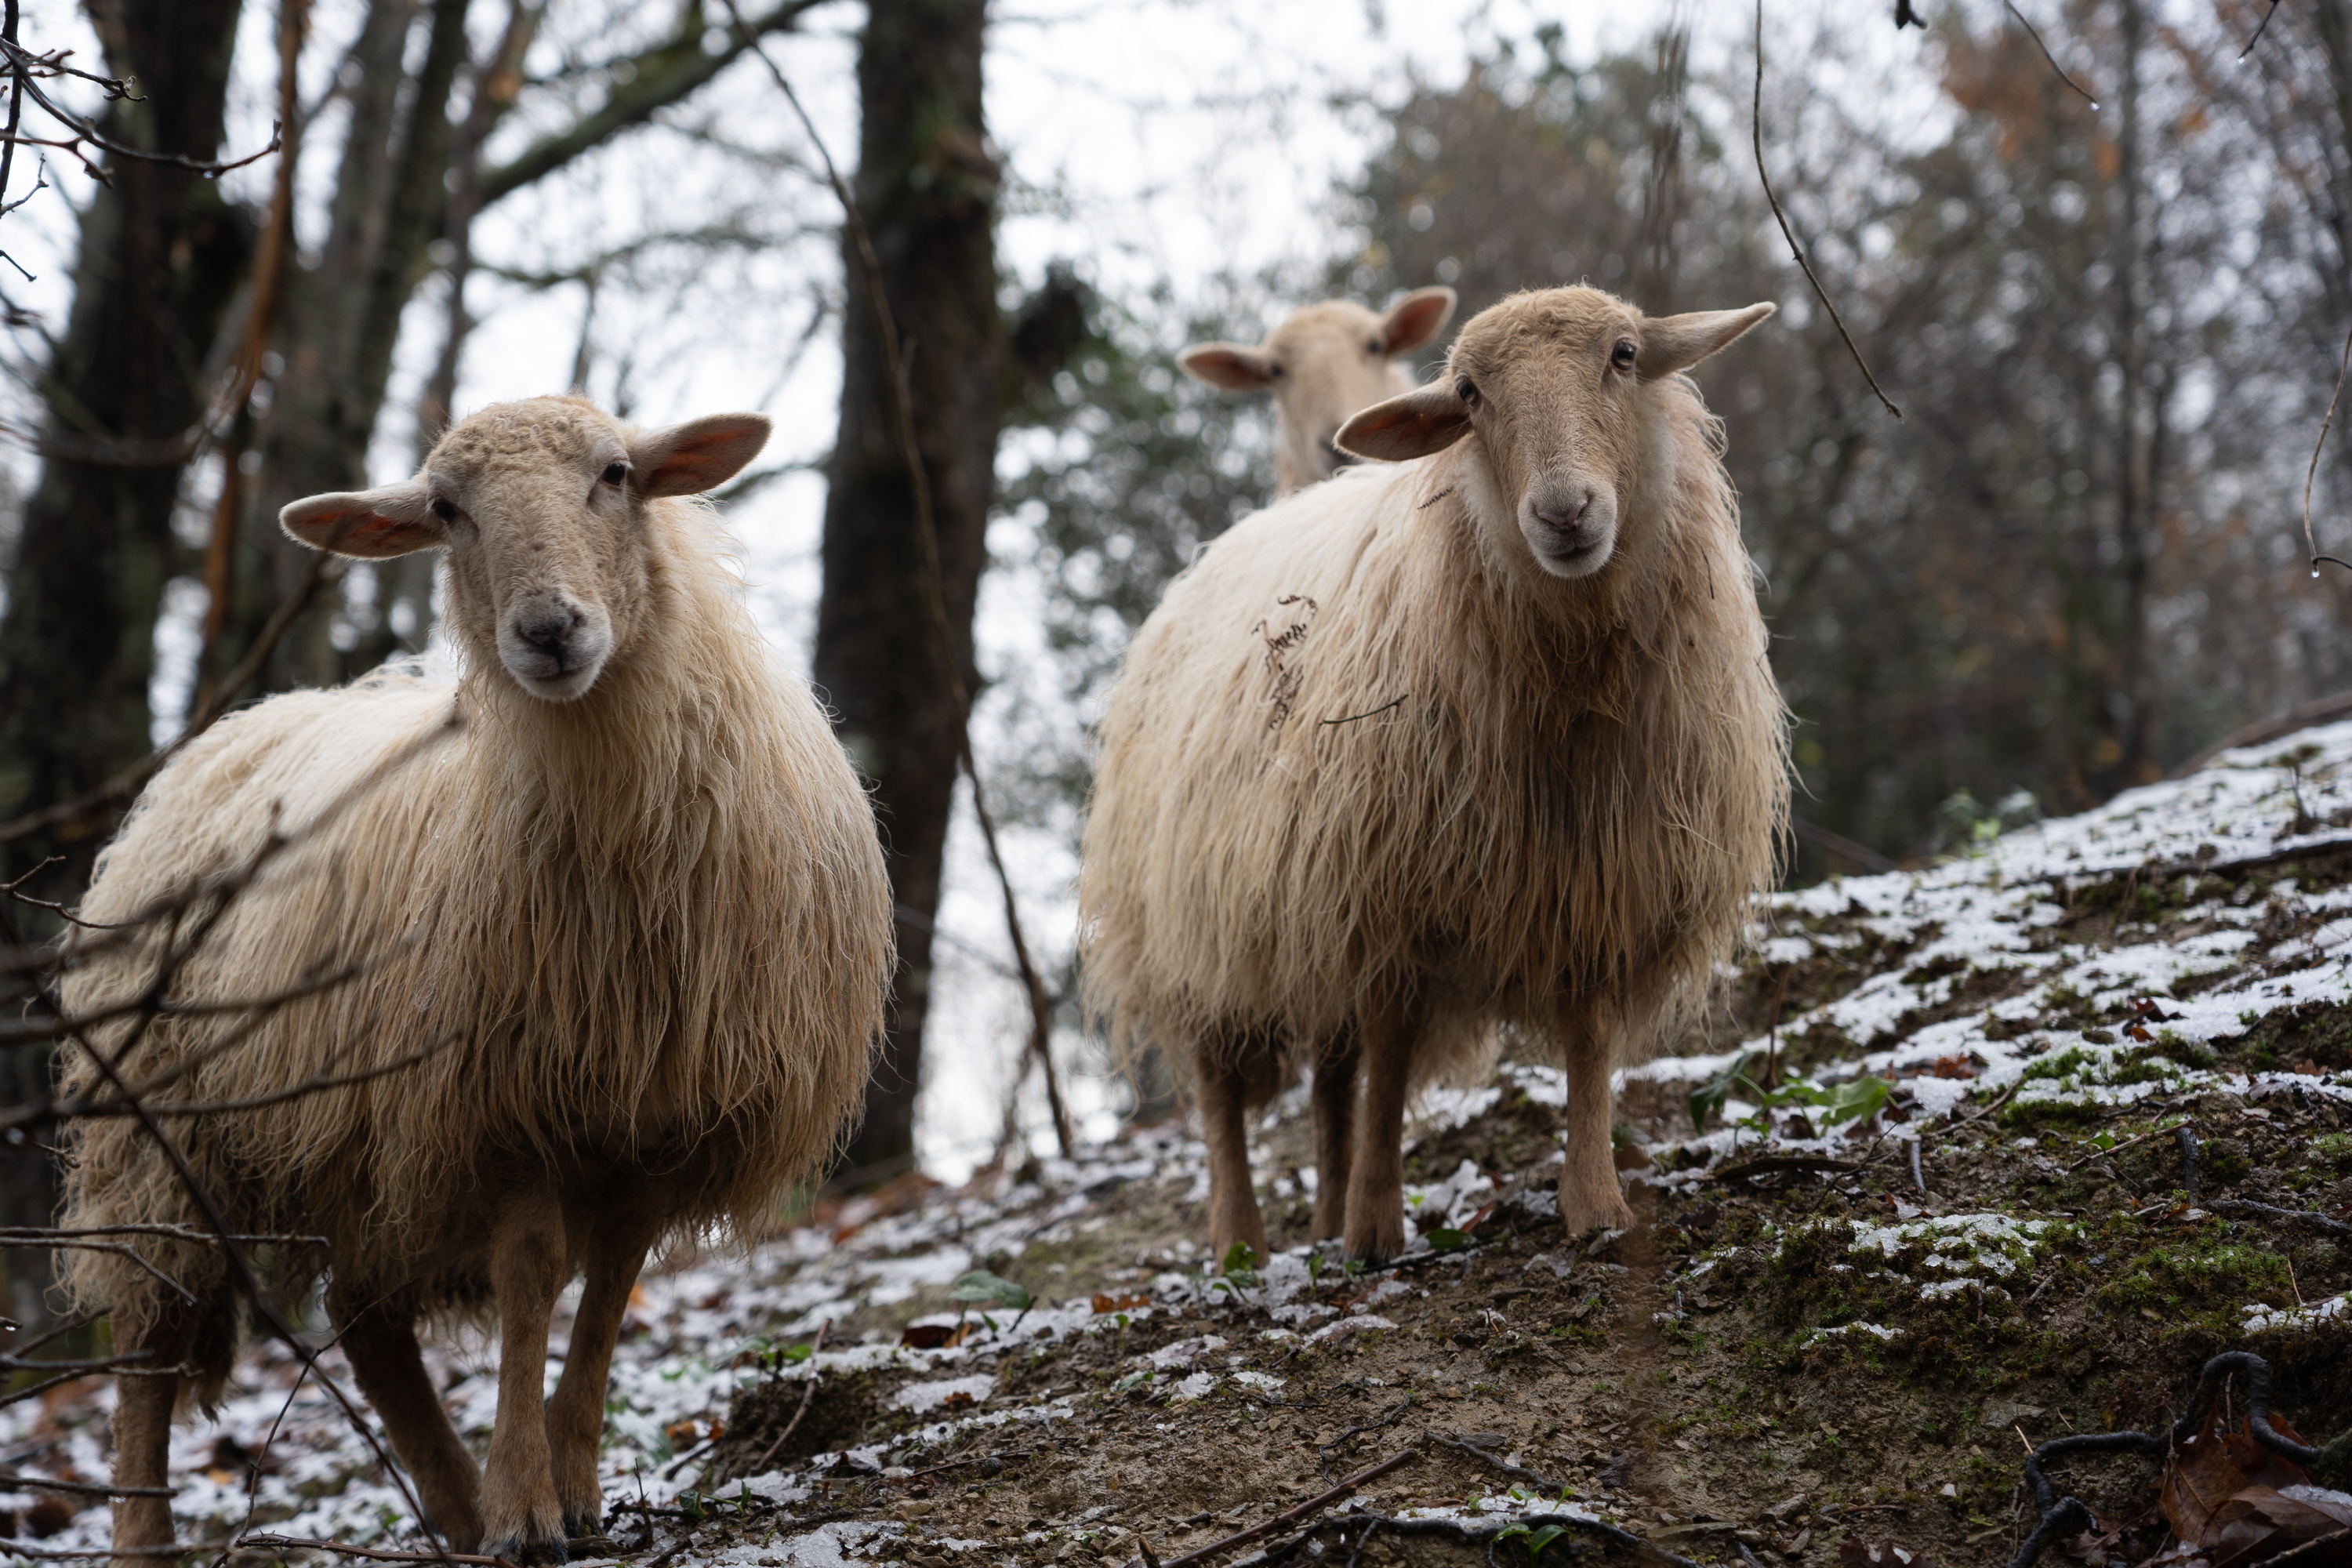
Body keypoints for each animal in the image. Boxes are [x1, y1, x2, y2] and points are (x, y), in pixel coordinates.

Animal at [64, 399, 894, 1561]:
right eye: (446, 511)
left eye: (617, 473)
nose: (549, 631)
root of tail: (231, 734)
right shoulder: (495, 1107)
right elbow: (534, 1277)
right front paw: (525, 1506)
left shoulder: (653, 1116)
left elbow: (610, 1288)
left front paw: (572, 1485)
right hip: (156, 1136)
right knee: (149, 1340)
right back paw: (154, 1536)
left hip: (352, 1146)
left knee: (366, 1320)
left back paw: (451, 1507)